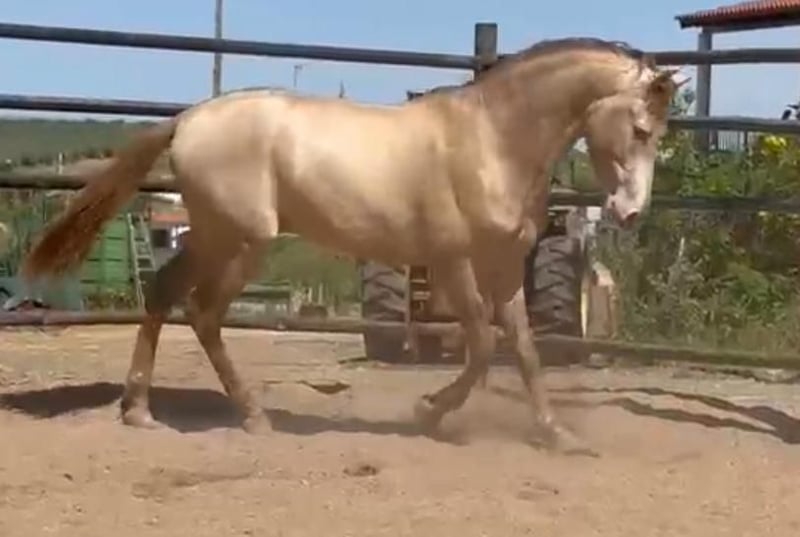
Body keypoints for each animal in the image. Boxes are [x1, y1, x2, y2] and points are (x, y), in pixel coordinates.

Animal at [21, 37, 684, 454]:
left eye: (660, 133)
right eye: (641, 129)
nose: (629, 212)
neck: (493, 140)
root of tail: (188, 119)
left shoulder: (501, 264)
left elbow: (520, 348)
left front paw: (556, 435)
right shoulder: (452, 261)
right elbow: (480, 345)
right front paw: (429, 412)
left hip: (217, 237)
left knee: (167, 295)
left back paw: (141, 411)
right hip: (238, 240)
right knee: (203, 311)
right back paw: (251, 418)